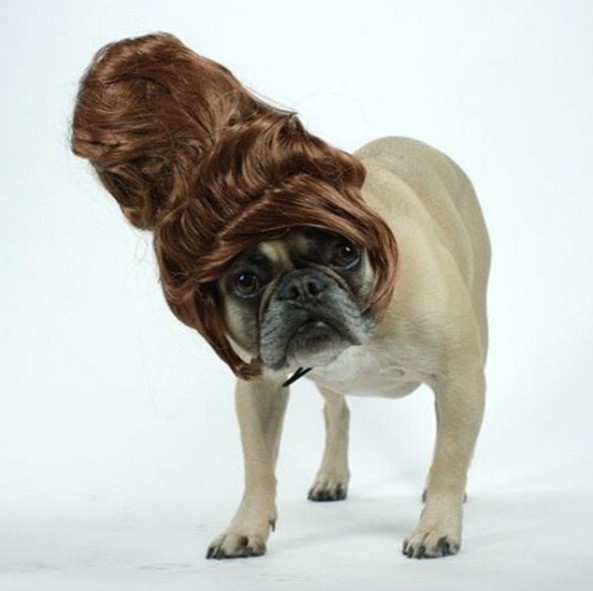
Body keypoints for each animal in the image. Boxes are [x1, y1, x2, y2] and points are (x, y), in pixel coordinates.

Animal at [72, 33, 490, 560]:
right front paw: (245, 527)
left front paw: (437, 525)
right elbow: (258, 467)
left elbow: (448, 458)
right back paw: (331, 476)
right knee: (337, 409)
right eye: (245, 281)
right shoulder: (259, 391)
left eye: (345, 251)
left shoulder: (460, 379)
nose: (302, 286)